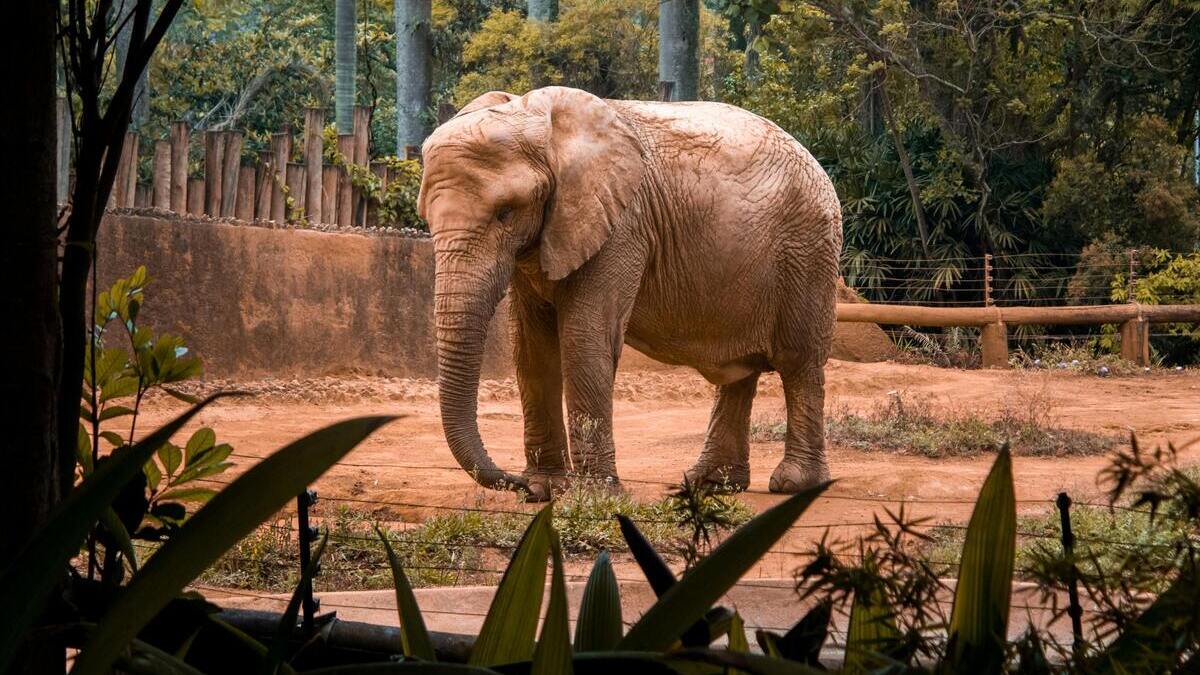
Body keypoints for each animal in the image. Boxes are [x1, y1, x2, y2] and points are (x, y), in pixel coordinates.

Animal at [422, 85, 844, 499]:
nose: (514, 482)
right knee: (741, 372)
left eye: (505, 212)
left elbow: (585, 338)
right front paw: (545, 489)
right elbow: (531, 349)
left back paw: (793, 484)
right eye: (426, 218)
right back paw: (708, 484)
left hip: (807, 250)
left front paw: (594, 497)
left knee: (799, 362)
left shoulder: (621, 226)